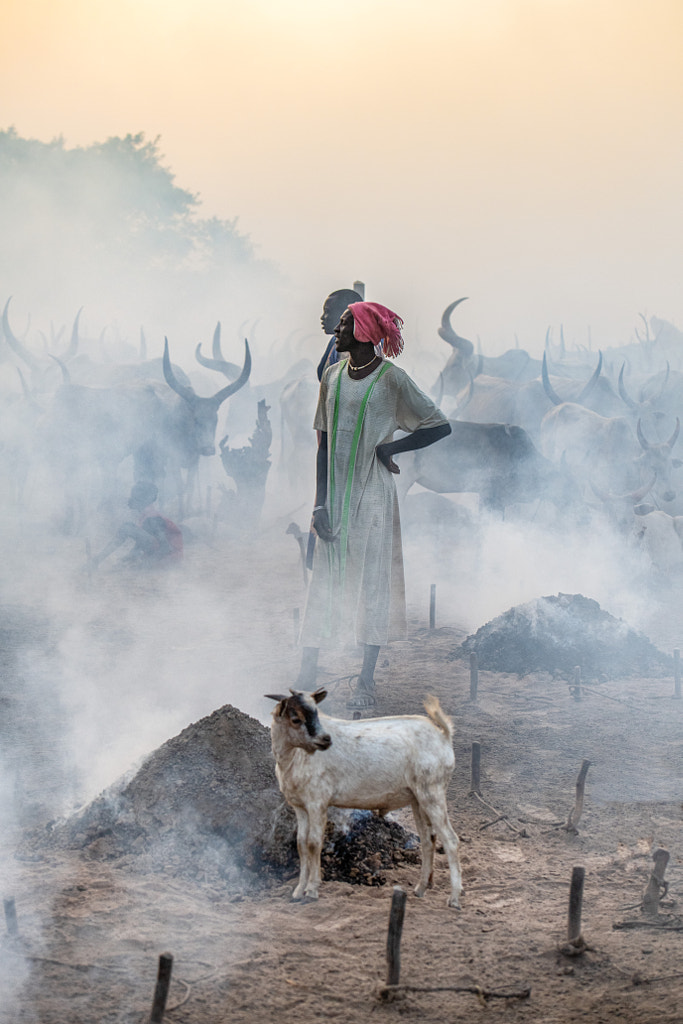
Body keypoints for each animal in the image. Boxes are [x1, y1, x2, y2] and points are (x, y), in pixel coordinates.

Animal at [264, 692, 462, 909]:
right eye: (295, 719)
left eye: (316, 712)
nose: (325, 739)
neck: (294, 758)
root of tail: (443, 734)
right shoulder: (299, 806)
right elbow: (301, 844)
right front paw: (298, 891)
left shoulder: (318, 802)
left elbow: (313, 843)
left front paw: (312, 891)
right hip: (418, 798)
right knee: (428, 840)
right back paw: (420, 888)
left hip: (433, 791)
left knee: (451, 840)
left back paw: (454, 898)